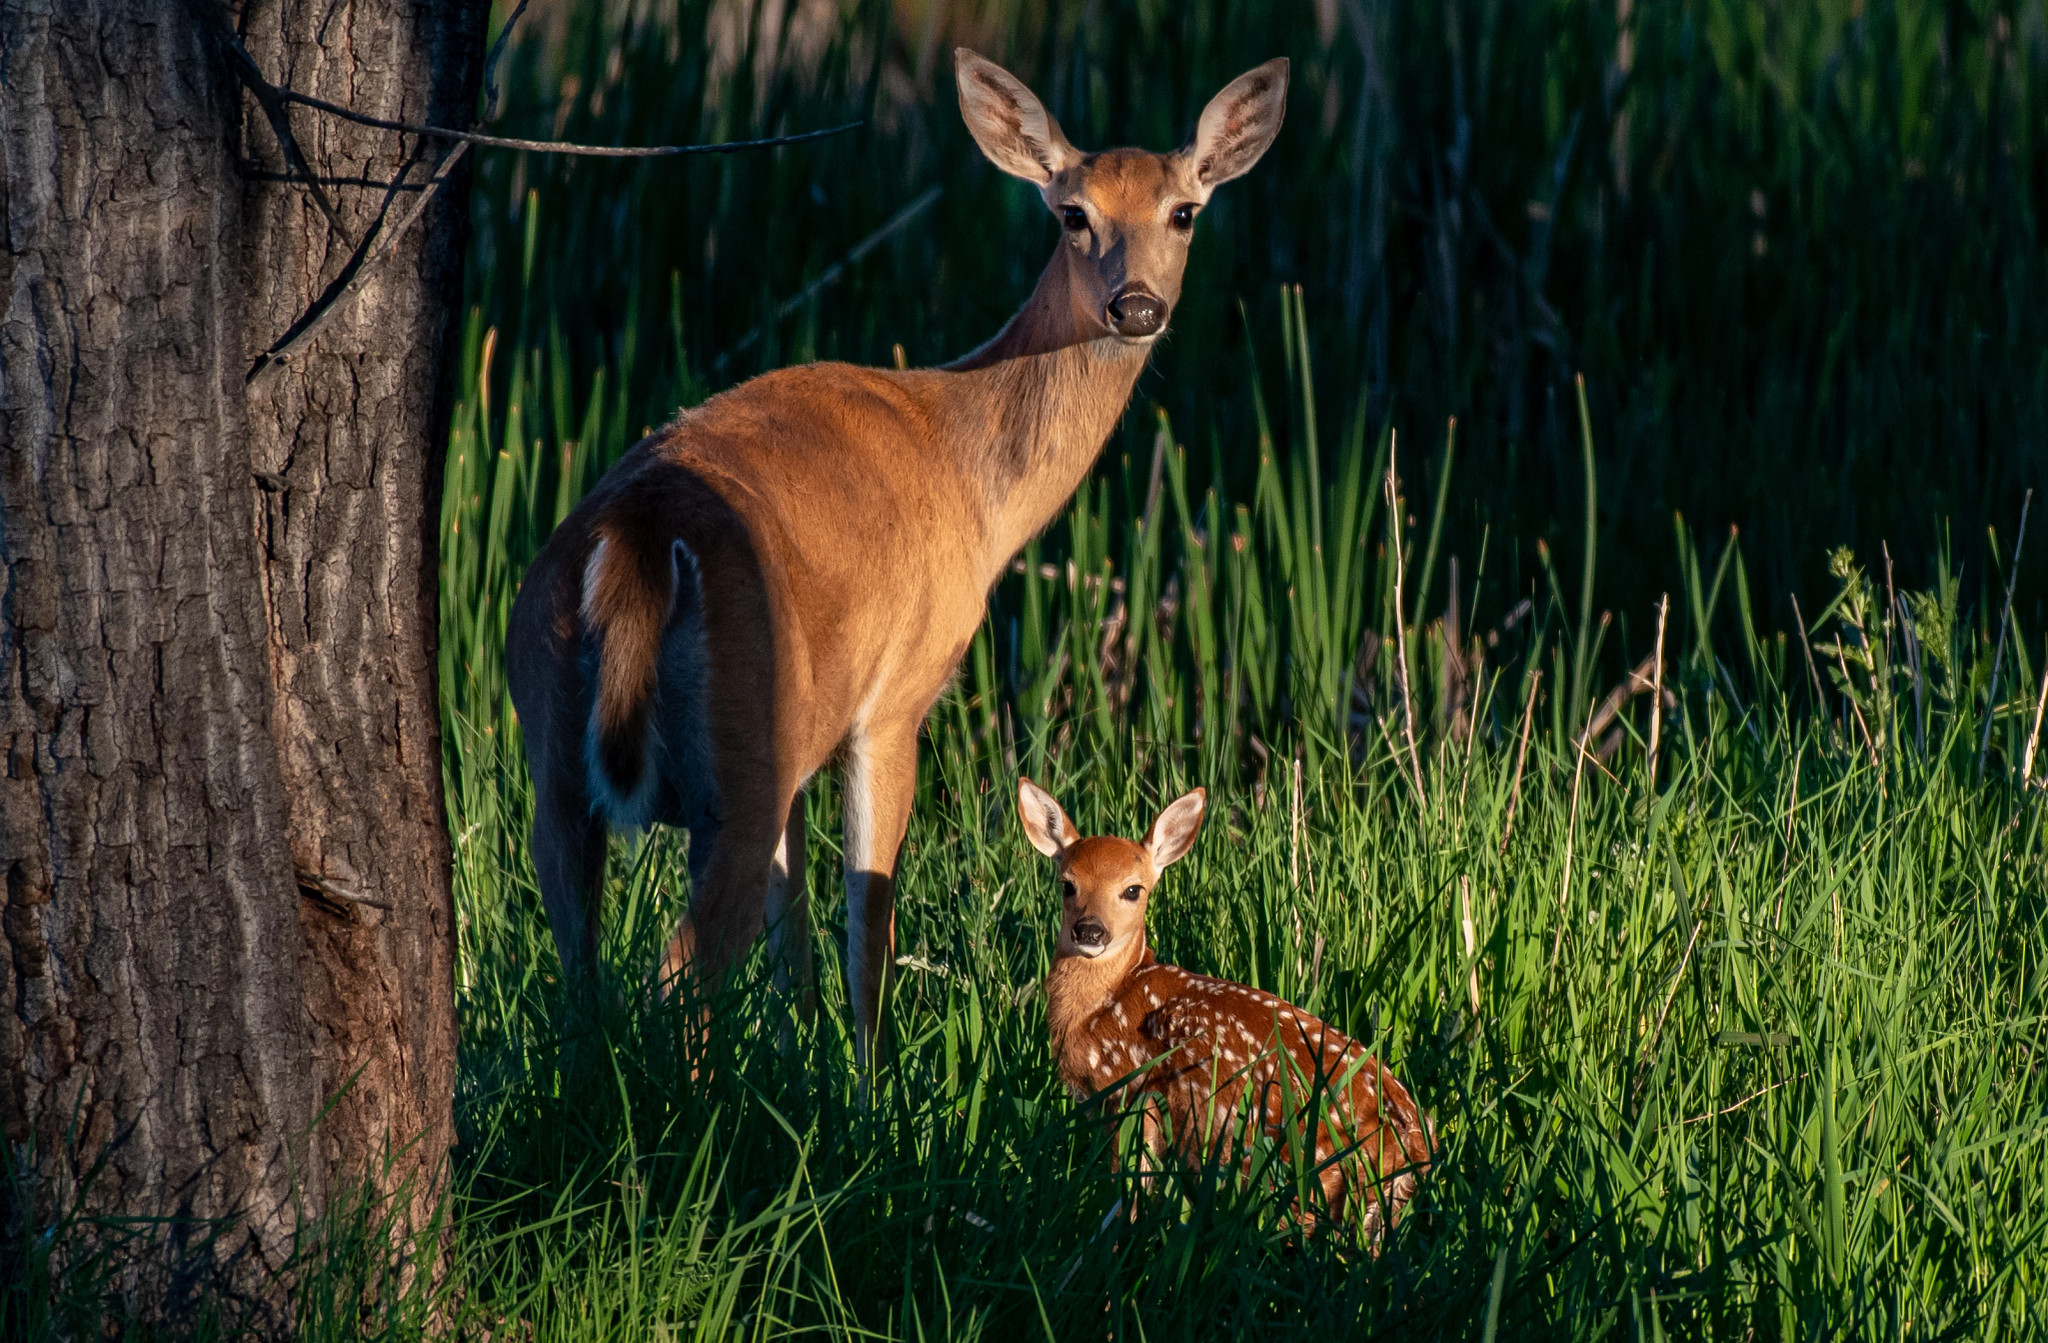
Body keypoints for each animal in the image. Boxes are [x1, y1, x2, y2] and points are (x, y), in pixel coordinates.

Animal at [505, 51, 1290, 1062]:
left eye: (1185, 210)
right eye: (1072, 213)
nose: (1137, 305)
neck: (974, 482)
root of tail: (633, 532)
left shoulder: (810, 738)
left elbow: (794, 938)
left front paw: (799, 1064)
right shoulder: (893, 702)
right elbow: (865, 930)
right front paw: (870, 1085)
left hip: (553, 741)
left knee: (584, 974)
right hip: (741, 748)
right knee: (678, 974)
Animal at [1018, 778, 1433, 1242]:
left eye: (1132, 889)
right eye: (1067, 884)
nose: (1090, 930)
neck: (1101, 1007)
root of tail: (1414, 1141)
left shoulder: (1126, 1089)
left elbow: (1130, 1185)